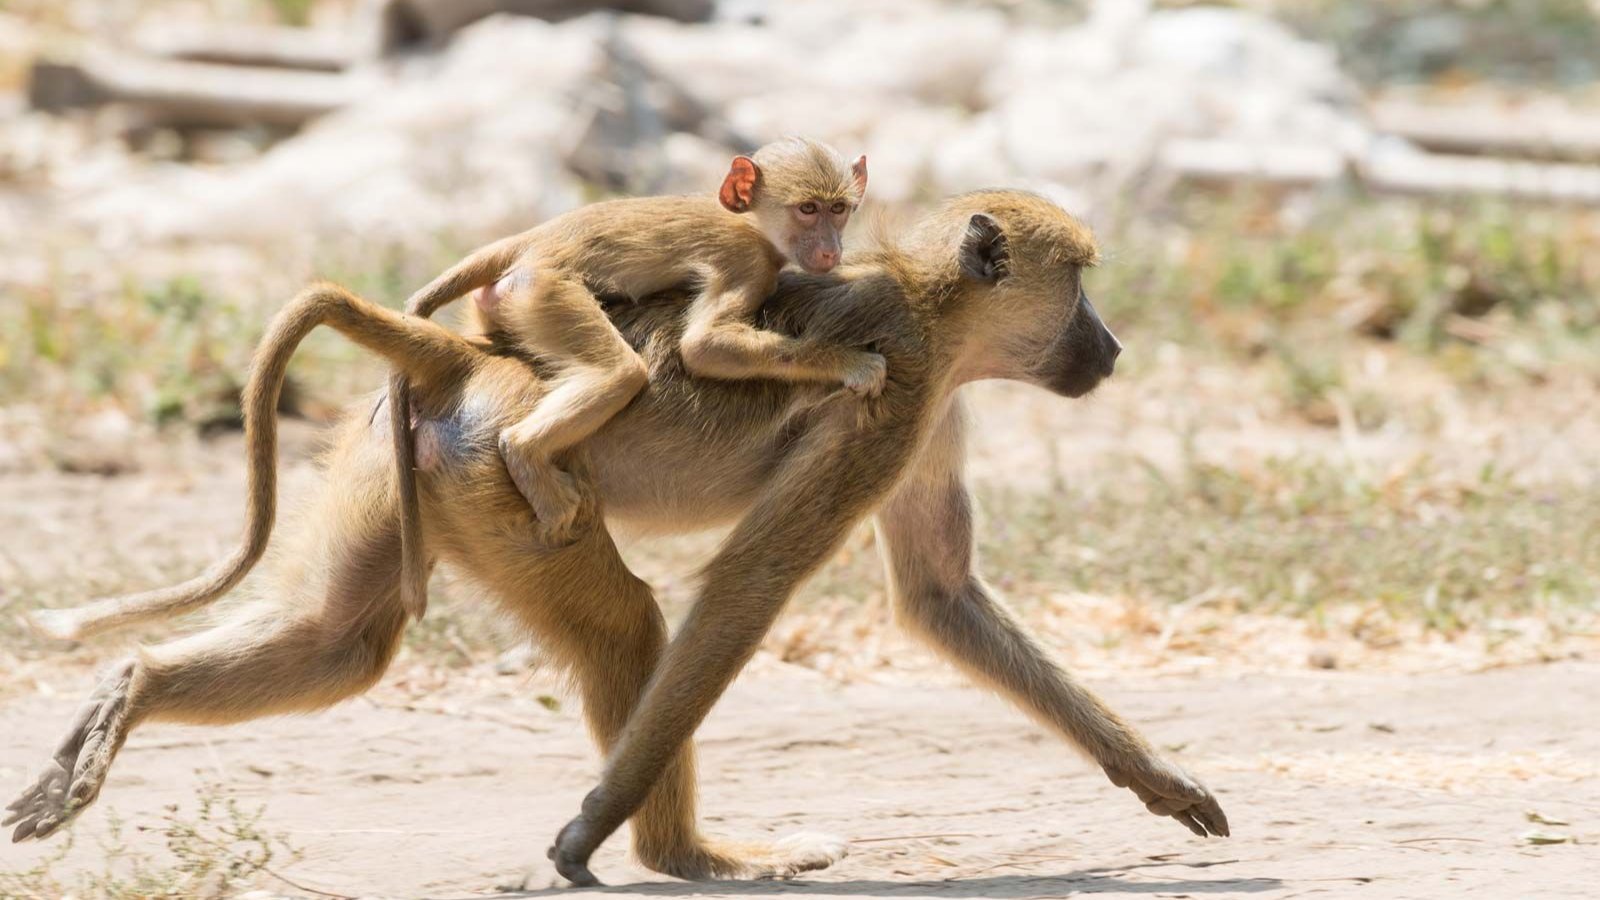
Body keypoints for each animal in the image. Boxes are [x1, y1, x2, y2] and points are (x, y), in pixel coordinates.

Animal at [10, 190, 1228, 888]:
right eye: (1082, 287)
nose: (1112, 346)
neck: (931, 305)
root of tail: (467, 362)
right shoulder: (900, 394)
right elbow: (752, 579)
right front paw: (587, 829)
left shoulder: (933, 413)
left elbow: (939, 596)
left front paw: (1158, 780)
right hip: (510, 487)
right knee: (630, 631)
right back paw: (683, 856)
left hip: (405, 473)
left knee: (339, 641)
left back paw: (126, 695)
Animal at [385, 138, 876, 623]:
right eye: (808, 209)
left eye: (839, 209)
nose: (830, 251)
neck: (750, 220)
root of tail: (531, 240)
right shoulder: (746, 263)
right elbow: (703, 347)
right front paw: (847, 362)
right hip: (542, 292)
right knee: (618, 375)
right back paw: (526, 454)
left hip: (502, 305)